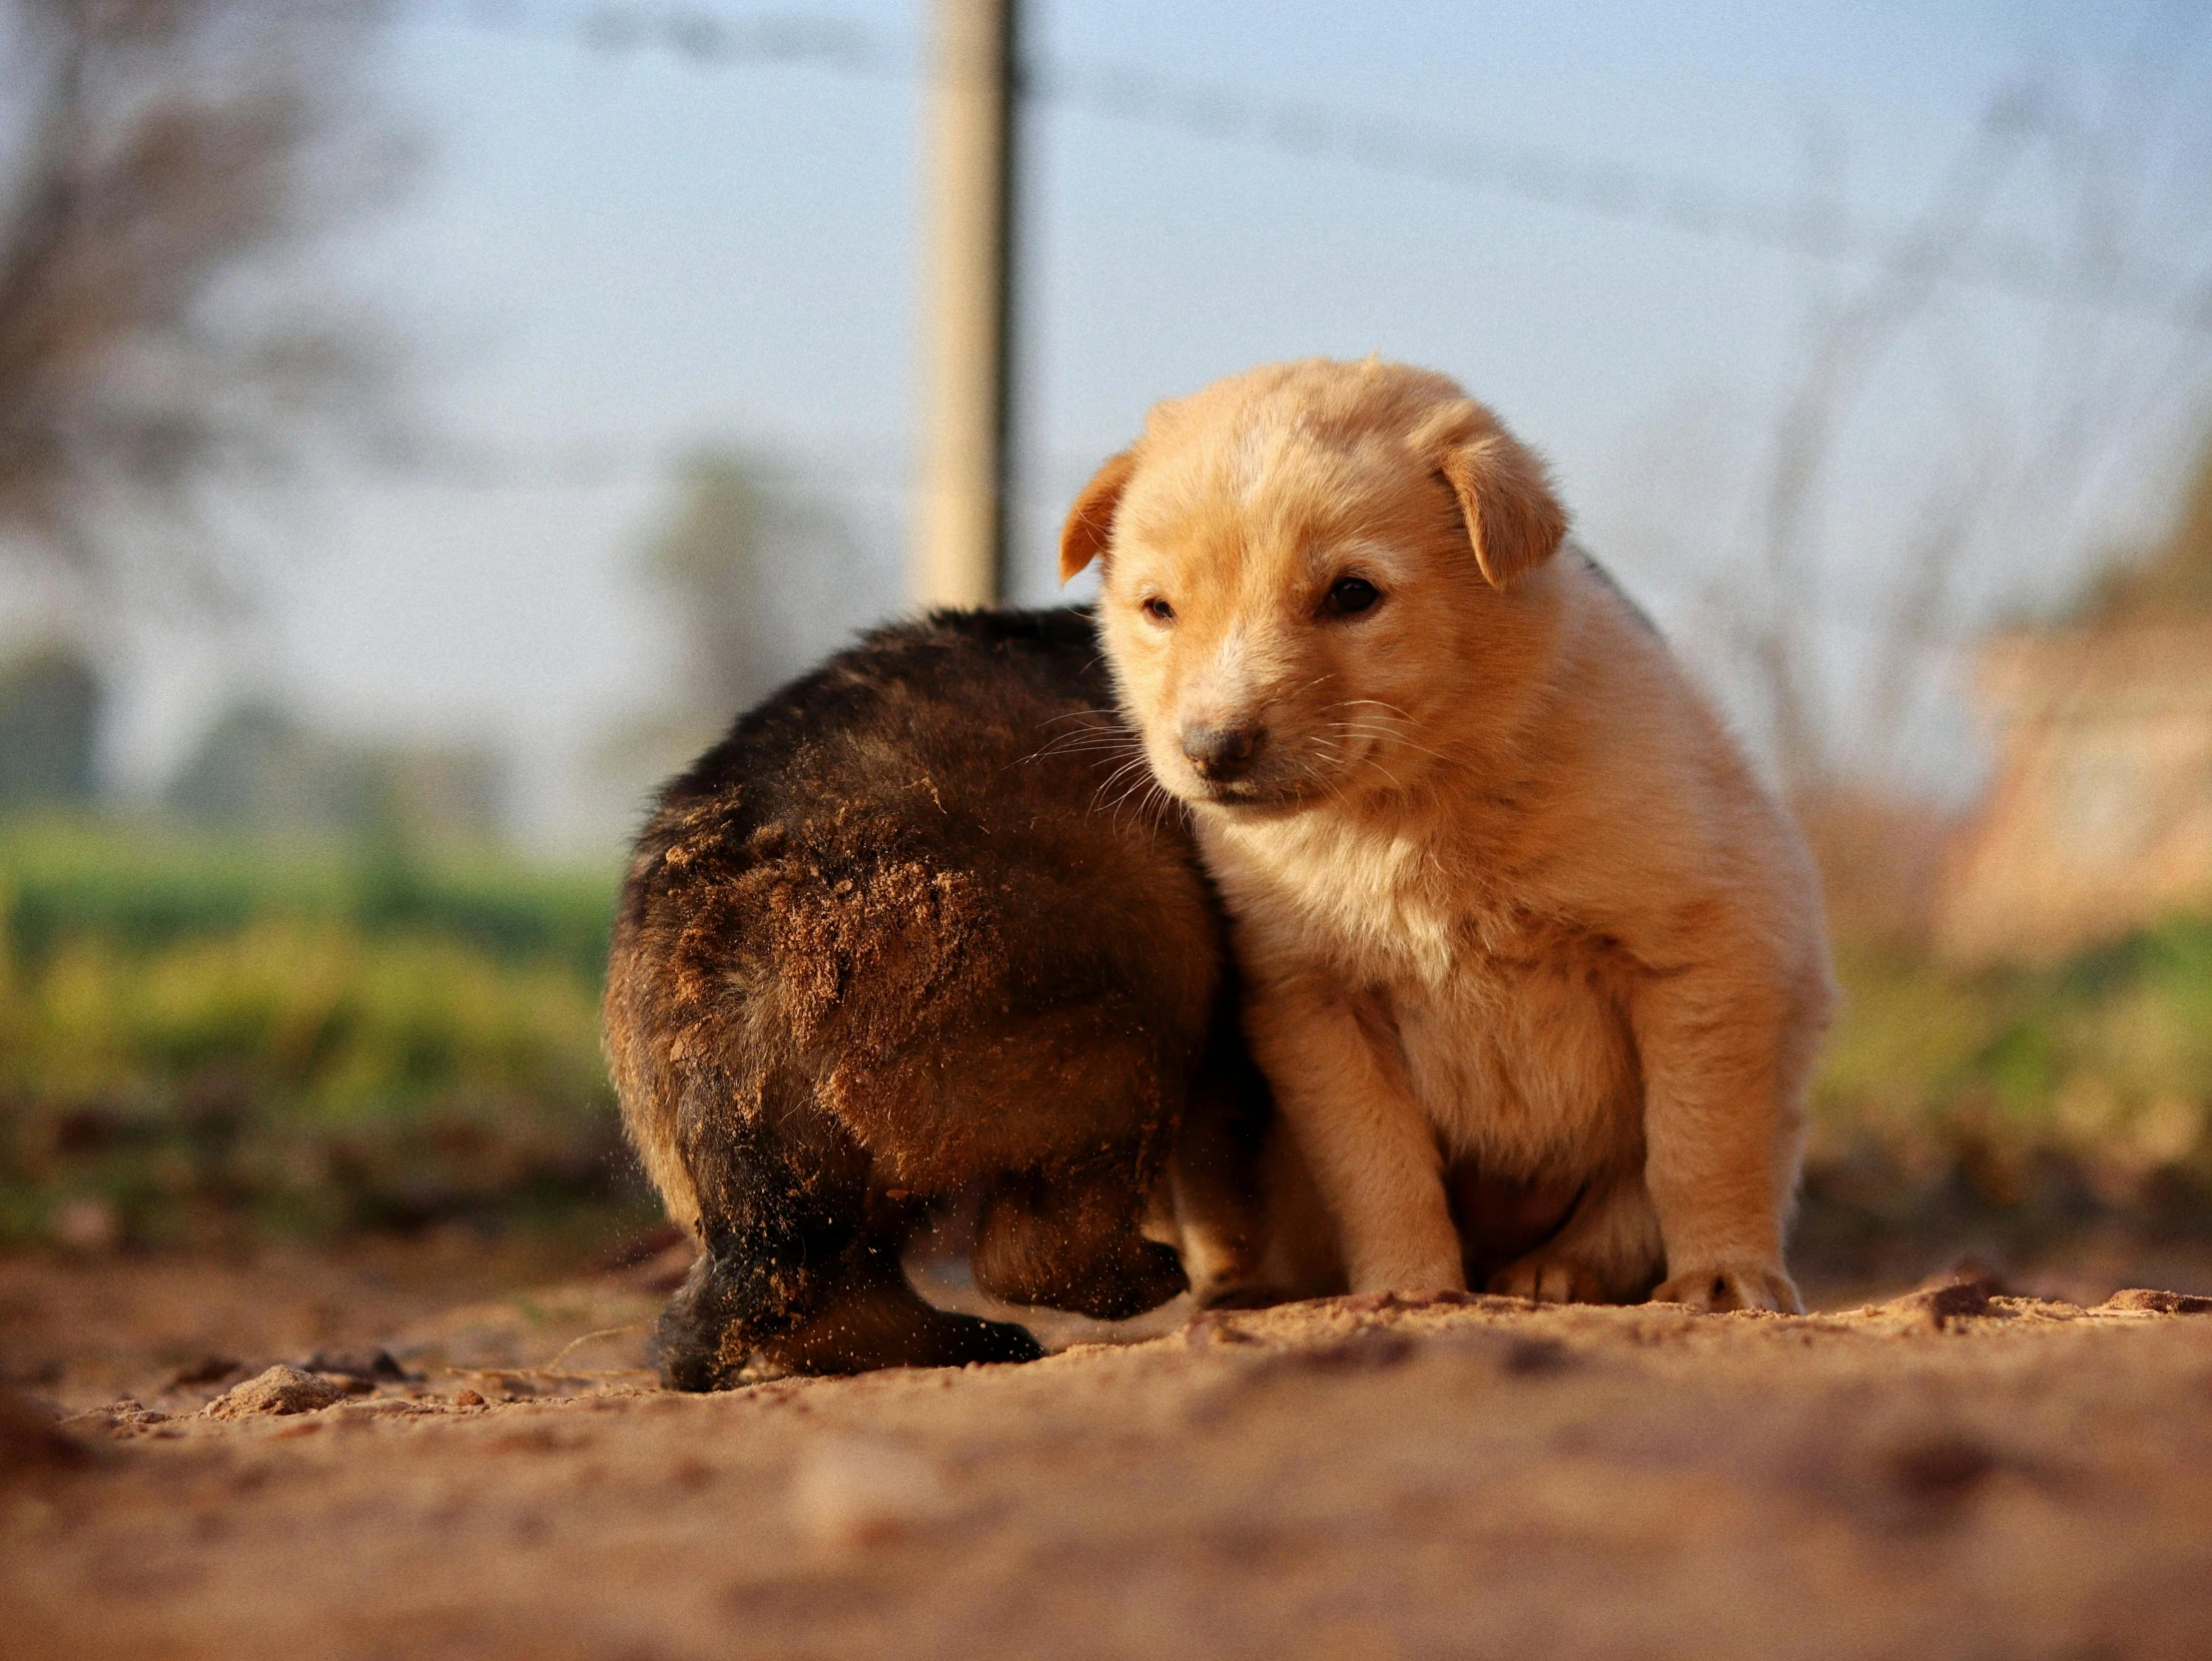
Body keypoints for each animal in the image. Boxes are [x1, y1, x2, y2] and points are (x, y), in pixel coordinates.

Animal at [1053, 360, 1832, 1308]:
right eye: (1158, 608)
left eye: (1352, 593)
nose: (1212, 749)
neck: (1407, 814)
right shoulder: (1315, 1001)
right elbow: (1376, 1163)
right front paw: (1407, 1285)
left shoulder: (1701, 945)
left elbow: (1698, 1145)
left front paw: (1722, 1273)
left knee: (1625, 1206)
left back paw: (1557, 1269)